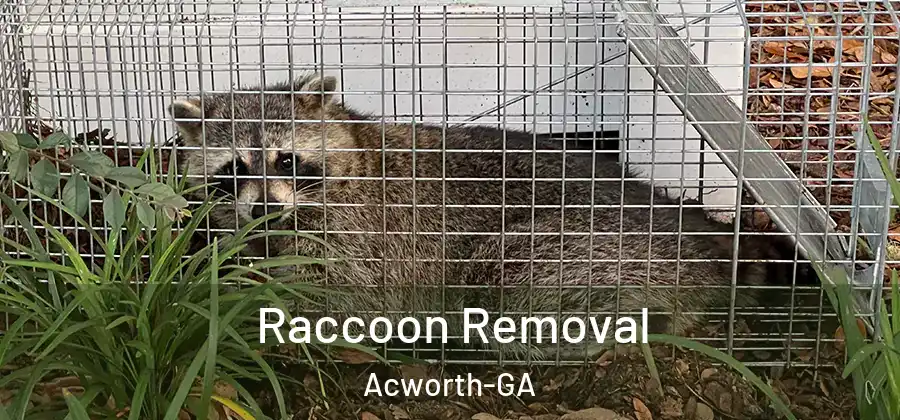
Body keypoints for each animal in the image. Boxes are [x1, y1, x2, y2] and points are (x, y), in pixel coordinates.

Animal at [168, 73, 805, 359]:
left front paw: (256, 308)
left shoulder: (366, 234)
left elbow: (345, 296)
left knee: (506, 274)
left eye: (286, 159)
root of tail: (694, 238)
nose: (265, 208)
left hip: (586, 248)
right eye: (234, 168)